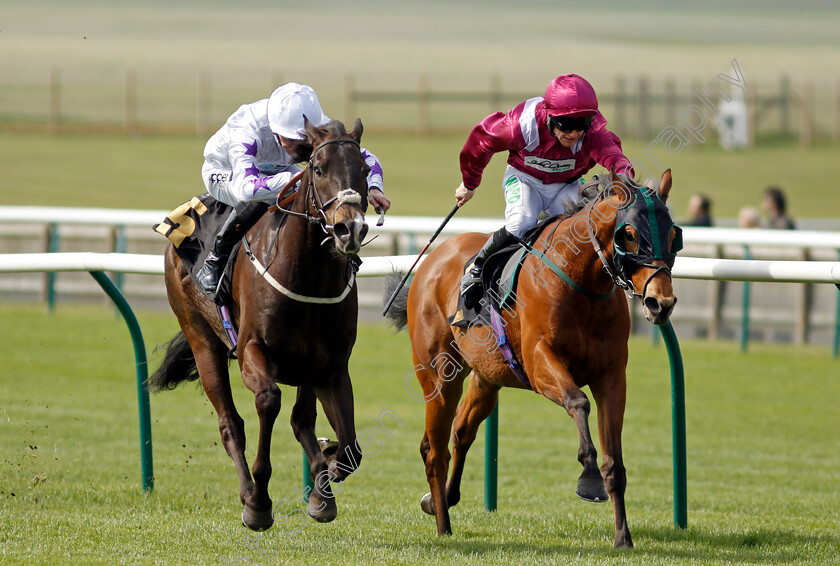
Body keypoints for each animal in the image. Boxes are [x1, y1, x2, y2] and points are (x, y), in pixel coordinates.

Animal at [150, 118, 370, 532]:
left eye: (365, 169)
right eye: (319, 170)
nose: (349, 229)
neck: (309, 277)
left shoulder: (331, 367)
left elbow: (348, 447)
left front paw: (326, 477)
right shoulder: (253, 350)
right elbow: (268, 401)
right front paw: (260, 502)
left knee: (301, 420)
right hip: (201, 339)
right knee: (230, 424)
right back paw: (249, 494)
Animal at [384, 171, 680, 548]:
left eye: (673, 235)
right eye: (629, 234)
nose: (661, 303)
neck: (582, 284)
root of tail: (433, 258)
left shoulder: (612, 377)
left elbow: (615, 461)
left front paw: (622, 537)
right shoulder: (540, 364)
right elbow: (577, 401)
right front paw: (589, 479)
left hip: (486, 377)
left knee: (462, 431)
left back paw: (441, 501)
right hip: (438, 376)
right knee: (434, 450)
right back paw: (443, 526)